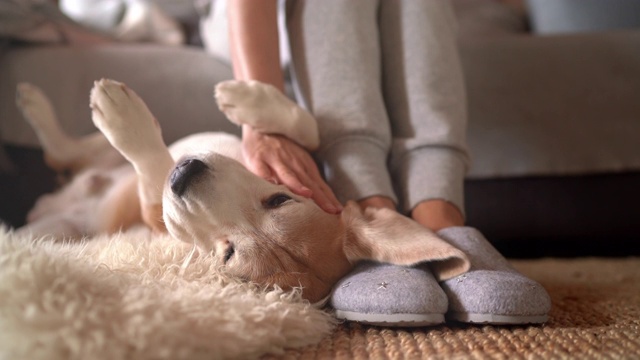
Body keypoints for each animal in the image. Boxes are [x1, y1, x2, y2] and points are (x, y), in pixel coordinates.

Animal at [12, 79, 468, 304]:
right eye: (279, 199)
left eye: (226, 253)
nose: (184, 175)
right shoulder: (310, 166)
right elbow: (309, 128)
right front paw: (247, 98)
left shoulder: (156, 211)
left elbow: (154, 175)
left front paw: (128, 123)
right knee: (64, 153)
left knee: (62, 156)